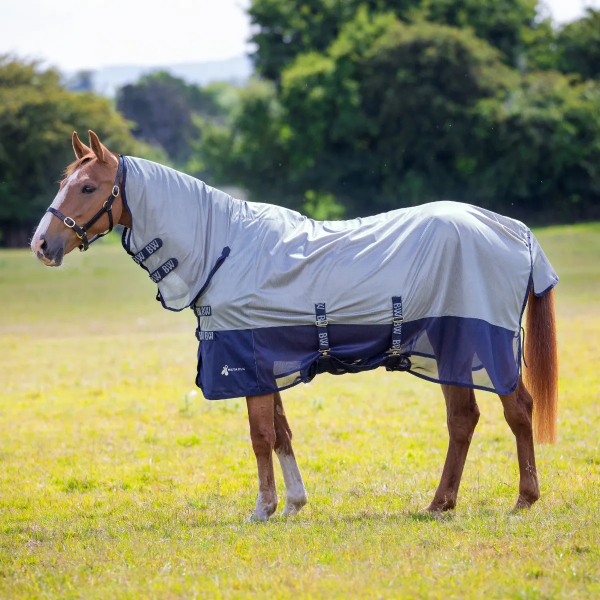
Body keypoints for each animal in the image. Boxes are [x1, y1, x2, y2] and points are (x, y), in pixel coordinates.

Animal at [31, 131, 556, 520]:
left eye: (87, 187)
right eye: (64, 182)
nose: (41, 245)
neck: (223, 249)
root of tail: (514, 231)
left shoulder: (248, 363)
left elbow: (261, 435)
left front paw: (263, 508)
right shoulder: (266, 364)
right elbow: (281, 432)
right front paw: (294, 504)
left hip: (480, 343)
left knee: (518, 410)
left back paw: (523, 499)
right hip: (449, 350)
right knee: (463, 420)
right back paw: (440, 503)